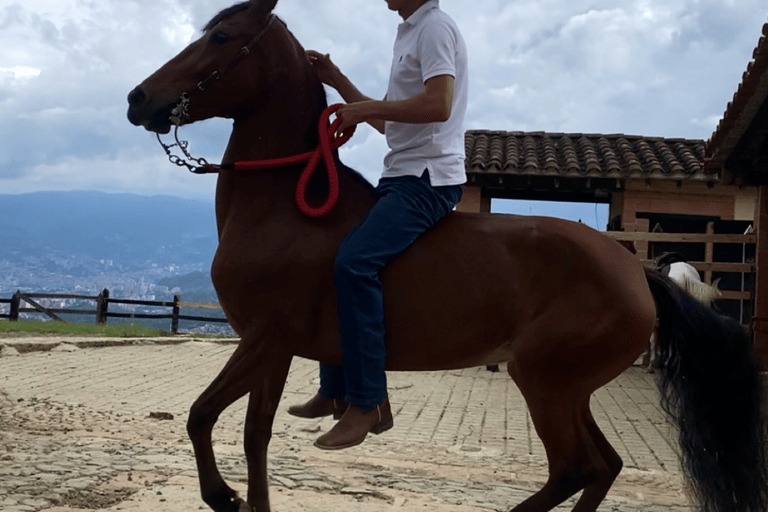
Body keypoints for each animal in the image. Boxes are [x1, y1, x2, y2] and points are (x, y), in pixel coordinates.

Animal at [127, 2, 768, 510]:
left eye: (220, 37)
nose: (139, 98)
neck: (286, 206)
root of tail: (636, 270)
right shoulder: (276, 347)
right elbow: (254, 433)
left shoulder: (264, 337)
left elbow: (202, 415)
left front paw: (222, 495)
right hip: (569, 388)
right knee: (603, 467)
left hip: (544, 381)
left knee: (576, 468)